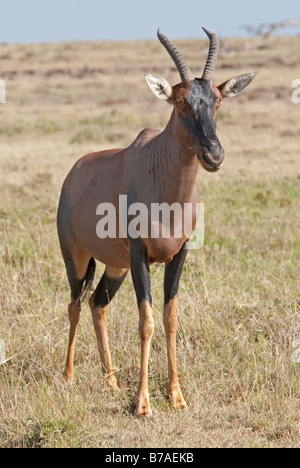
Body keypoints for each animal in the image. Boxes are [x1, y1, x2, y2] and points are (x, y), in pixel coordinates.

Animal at [56, 28, 255, 416]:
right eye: (180, 102)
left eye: (217, 101)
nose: (214, 155)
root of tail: (74, 172)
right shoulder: (140, 256)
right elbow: (146, 321)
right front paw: (143, 403)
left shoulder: (179, 255)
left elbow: (170, 317)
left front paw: (176, 396)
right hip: (77, 257)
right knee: (75, 304)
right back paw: (69, 376)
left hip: (115, 266)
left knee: (98, 304)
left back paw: (111, 381)